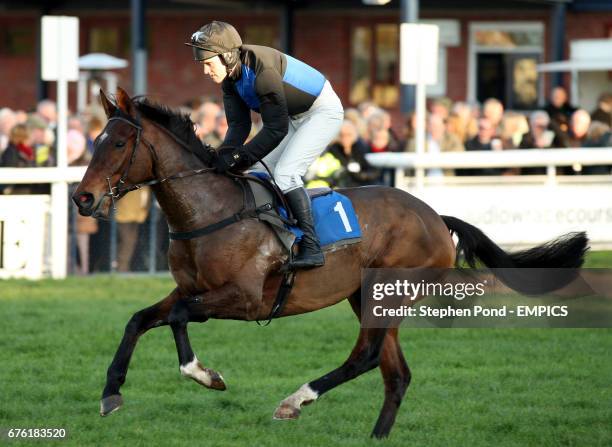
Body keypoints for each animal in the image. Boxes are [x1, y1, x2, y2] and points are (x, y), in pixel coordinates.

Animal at [73, 88, 588, 440]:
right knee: (395, 372)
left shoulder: (244, 299)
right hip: (369, 298)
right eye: (95, 139)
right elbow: (141, 320)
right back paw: (376, 436)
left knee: (365, 358)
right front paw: (111, 393)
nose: (83, 198)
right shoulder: (189, 288)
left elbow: (179, 318)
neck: (209, 212)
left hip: (386, 292)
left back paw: (295, 401)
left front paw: (204, 374)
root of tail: (435, 217)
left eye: (118, 144)